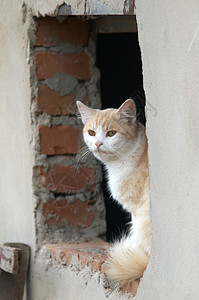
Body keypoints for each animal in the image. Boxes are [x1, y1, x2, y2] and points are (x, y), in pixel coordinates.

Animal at [77, 99, 152, 290]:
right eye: (92, 133)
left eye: (111, 133)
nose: (98, 143)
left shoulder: (135, 207)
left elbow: (135, 230)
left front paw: (131, 247)